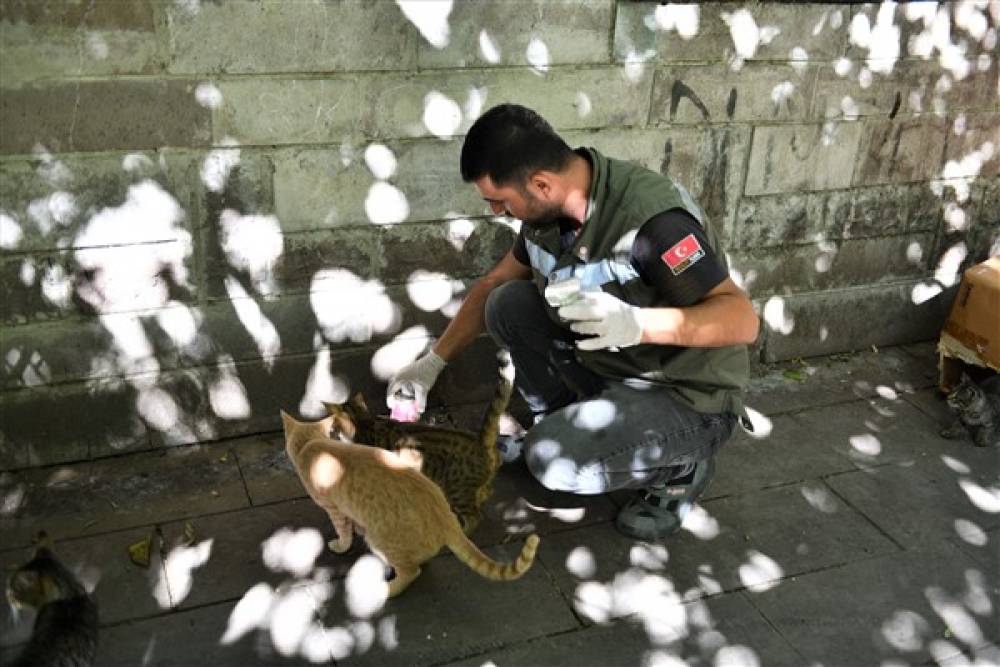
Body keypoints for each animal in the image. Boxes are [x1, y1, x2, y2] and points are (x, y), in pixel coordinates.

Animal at [278, 410, 540, 596]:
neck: (311, 445)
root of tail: (445, 515)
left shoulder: (334, 509)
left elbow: (343, 533)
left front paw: (341, 545)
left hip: (381, 541)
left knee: (411, 572)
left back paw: (390, 590)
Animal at [326, 352, 516, 536]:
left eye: (333, 428)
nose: (328, 433)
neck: (365, 424)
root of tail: (480, 440)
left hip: (457, 490)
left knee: (474, 517)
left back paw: (463, 531)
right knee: (486, 493)